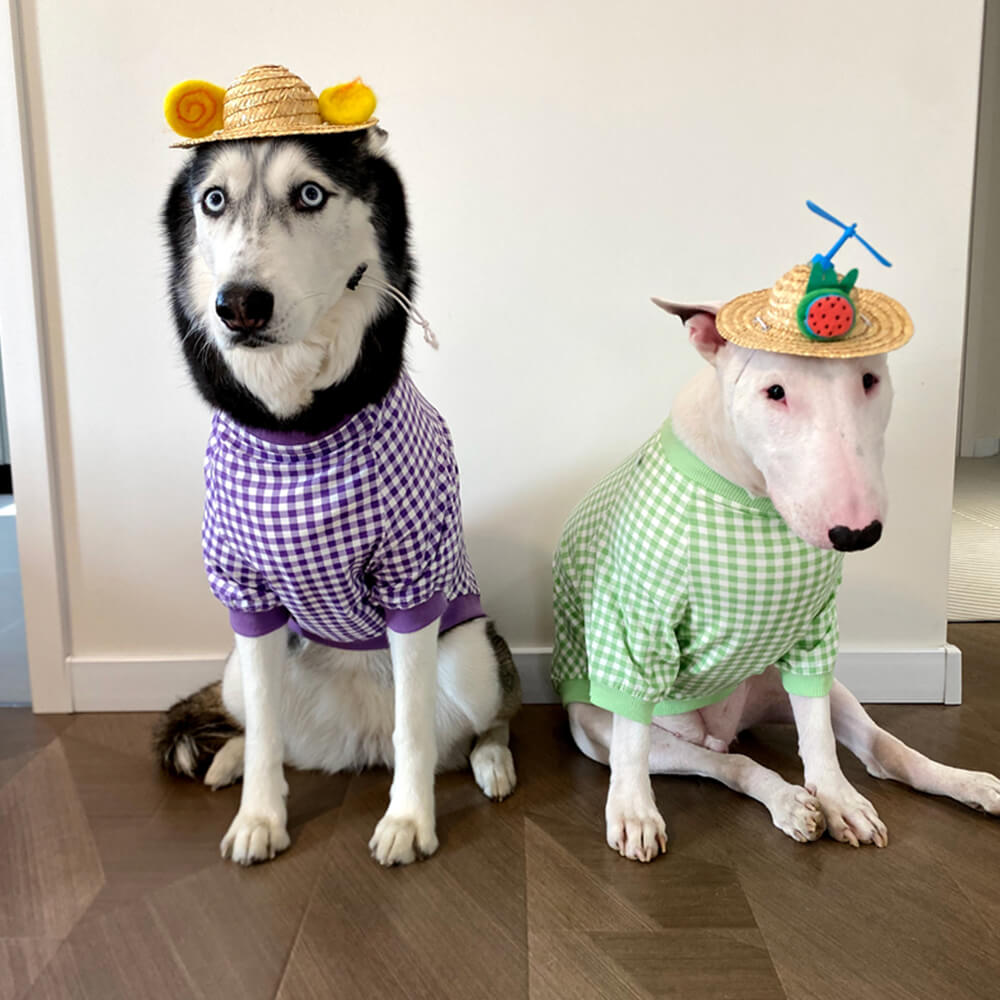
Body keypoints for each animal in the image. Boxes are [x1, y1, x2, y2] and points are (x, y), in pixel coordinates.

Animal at [154, 131, 524, 868]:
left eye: (309, 194)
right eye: (214, 200)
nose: (239, 305)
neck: (299, 435)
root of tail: (358, 744)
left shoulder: (412, 583)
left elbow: (414, 730)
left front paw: (409, 821)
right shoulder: (246, 595)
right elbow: (266, 735)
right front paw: (259, 818)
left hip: (469, 658)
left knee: (482, 721)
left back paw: (491, 762)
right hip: (236, 668)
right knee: (264, 728)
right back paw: (230, 759)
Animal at [552, 215, 1000, 864]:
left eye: (870, 380)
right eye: (775, 392)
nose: (856, 533)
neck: (754, 498)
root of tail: (722, 726)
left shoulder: (813, 626)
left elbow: (818, 736)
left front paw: (840, 801)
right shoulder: (637, 624)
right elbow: (635, 735)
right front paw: (633, 812)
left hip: (796, 686)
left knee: (878, 748)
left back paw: (958, 783)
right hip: (612, 730)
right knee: (725, 764)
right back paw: (788, 802)